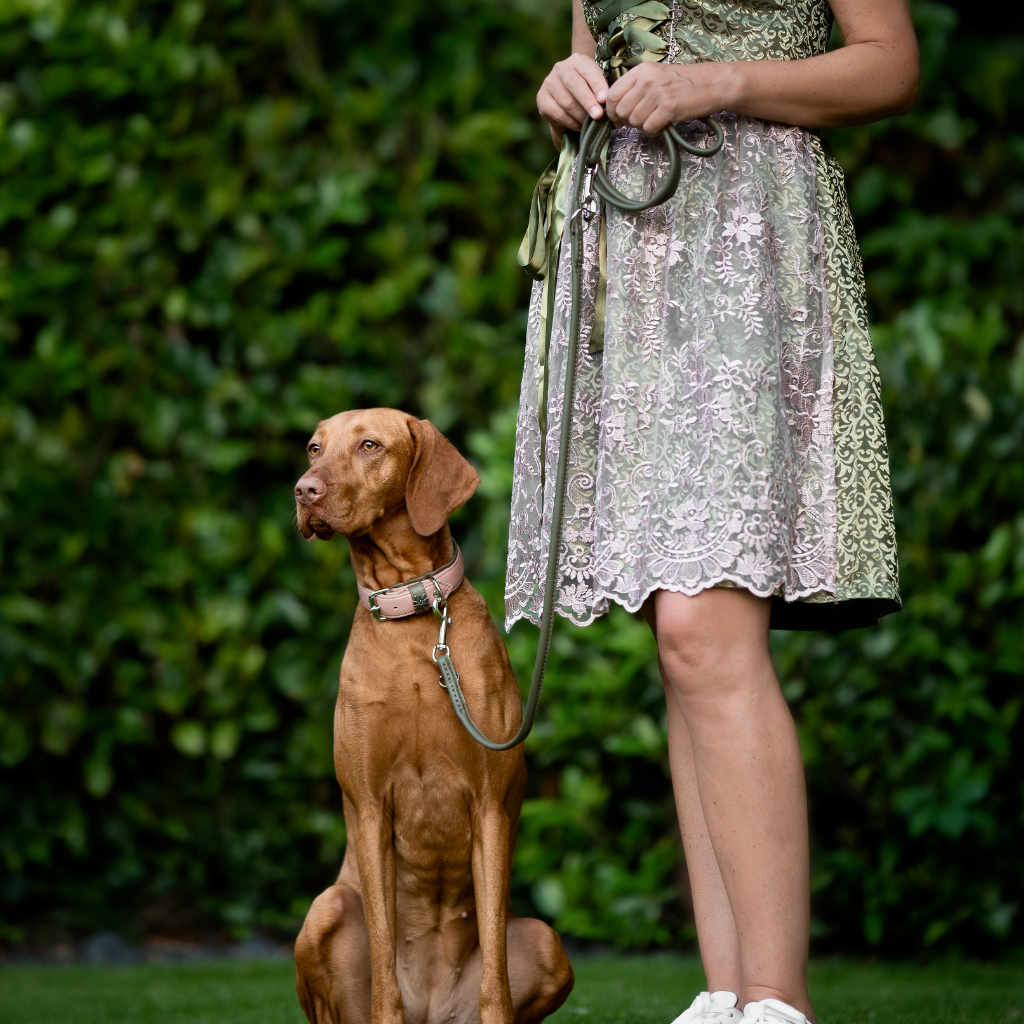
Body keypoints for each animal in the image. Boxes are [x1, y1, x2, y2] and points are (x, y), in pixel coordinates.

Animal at [292, 407, 573, 1024]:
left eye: (370, 446)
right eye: (314, 448)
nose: (304, 490)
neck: (414, 618)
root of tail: (432, 1003)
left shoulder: (490, 808)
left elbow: (495, 976)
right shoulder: (369, 808)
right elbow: (382, 973)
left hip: (546, 941)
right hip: (325, 909)